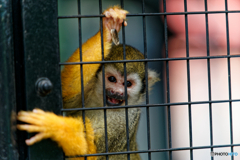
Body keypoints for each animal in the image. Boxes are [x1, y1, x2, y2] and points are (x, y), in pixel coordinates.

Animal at [16, 5, 159, 159]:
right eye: (112, 79)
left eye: (127, 84)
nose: (116, 92)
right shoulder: (89, 88)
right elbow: (66, 93)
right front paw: (108, 28)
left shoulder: (126, 121)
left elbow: (92, 155)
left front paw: (53, 126)